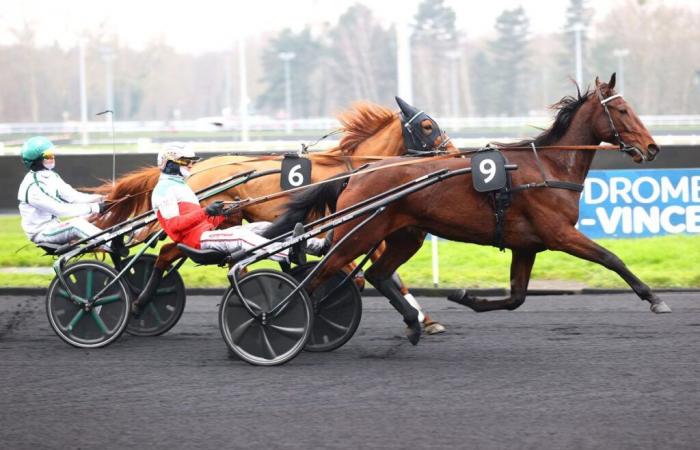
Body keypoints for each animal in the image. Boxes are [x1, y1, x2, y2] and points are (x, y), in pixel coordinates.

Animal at [90, 99, 456, 330]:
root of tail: (197, 170)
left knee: (170, 252)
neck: (349, 171)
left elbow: (384, 272)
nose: (452, 153)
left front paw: (425, 320)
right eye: (427, 125)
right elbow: (363, 270)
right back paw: (137, 302)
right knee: (169, 250)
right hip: (217, 223)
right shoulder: (349, 226)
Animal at [266, 75, 668, 346]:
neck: (549, 168)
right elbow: (611, 258)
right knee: (317, 279)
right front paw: (654, 299)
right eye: (622, 110)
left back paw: (414, 323)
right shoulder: (559, 234)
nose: (652, 148)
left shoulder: (527, 245)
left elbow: (516, 298)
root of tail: (358, 171)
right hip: (360, 234)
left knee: (377, 274)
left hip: (404, 235)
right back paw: (285, 321)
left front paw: (466, 298)